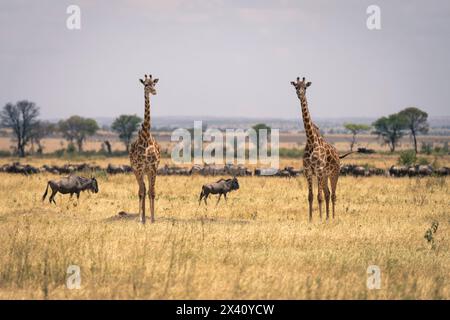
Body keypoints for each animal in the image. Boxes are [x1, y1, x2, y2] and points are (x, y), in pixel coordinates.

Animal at [290, 77, 342, 222]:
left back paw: (333, 217)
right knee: (327, 193)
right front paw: (311, 219)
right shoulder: (308, 171)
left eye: (305, 87)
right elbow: (311, 196)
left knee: (333, 194)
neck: (311, 140)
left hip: (334, 173)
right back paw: (328, 217)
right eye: (296, 87)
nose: (300, 94)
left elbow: (318, 197)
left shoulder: (318, 170)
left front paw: (318, 218)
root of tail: (338, 155)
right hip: (324, 176)